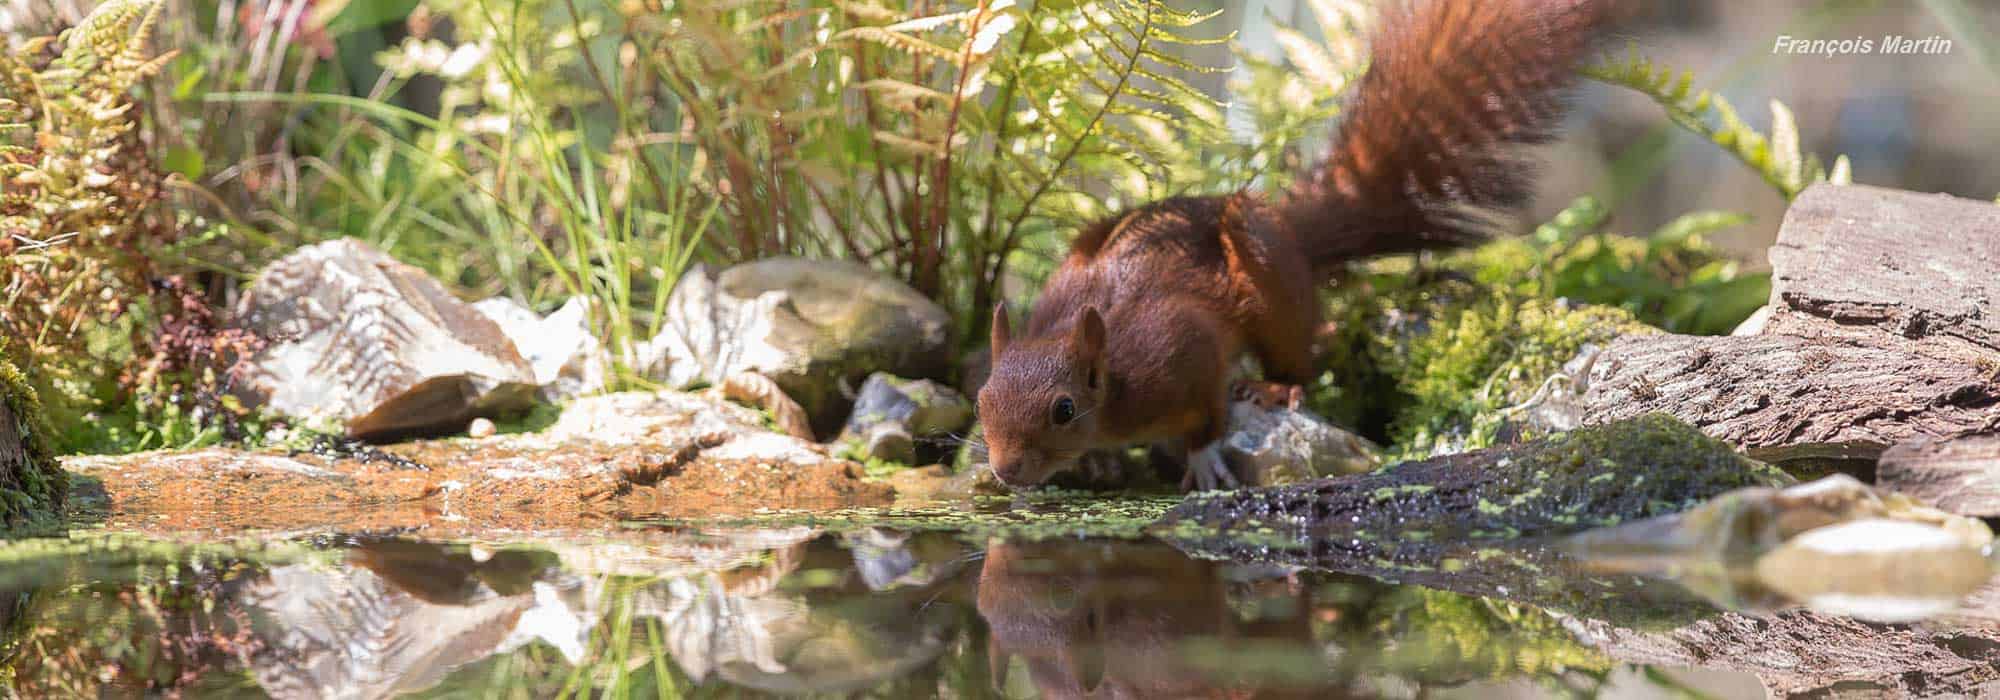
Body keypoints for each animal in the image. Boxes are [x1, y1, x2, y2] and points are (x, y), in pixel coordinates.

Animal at [976, 0, 1616, 490]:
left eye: (1063, 409)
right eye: (981, 400)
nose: (1006, 471)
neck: (1113, 379)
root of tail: (1288, 229)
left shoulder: (1182, 353)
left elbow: (1208, 411)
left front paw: (1203, 460)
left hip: (1267, 277)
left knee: (1302, 349)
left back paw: (1277, 383)